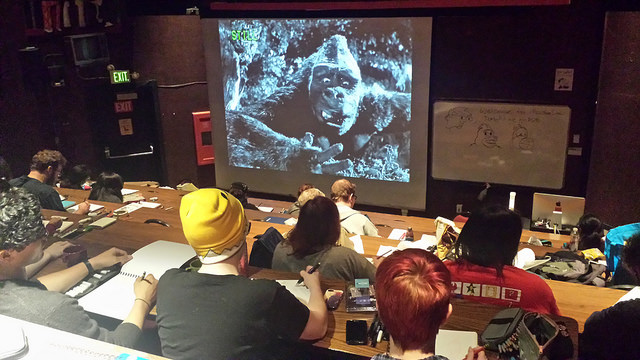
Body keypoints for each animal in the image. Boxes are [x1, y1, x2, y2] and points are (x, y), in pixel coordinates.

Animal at [220, 19, 410, 181]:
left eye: (345, 82)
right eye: (325, 80)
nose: (334, 93)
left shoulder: (380, 107)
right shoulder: (283, 103)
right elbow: (235, 122)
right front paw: (300, 157)